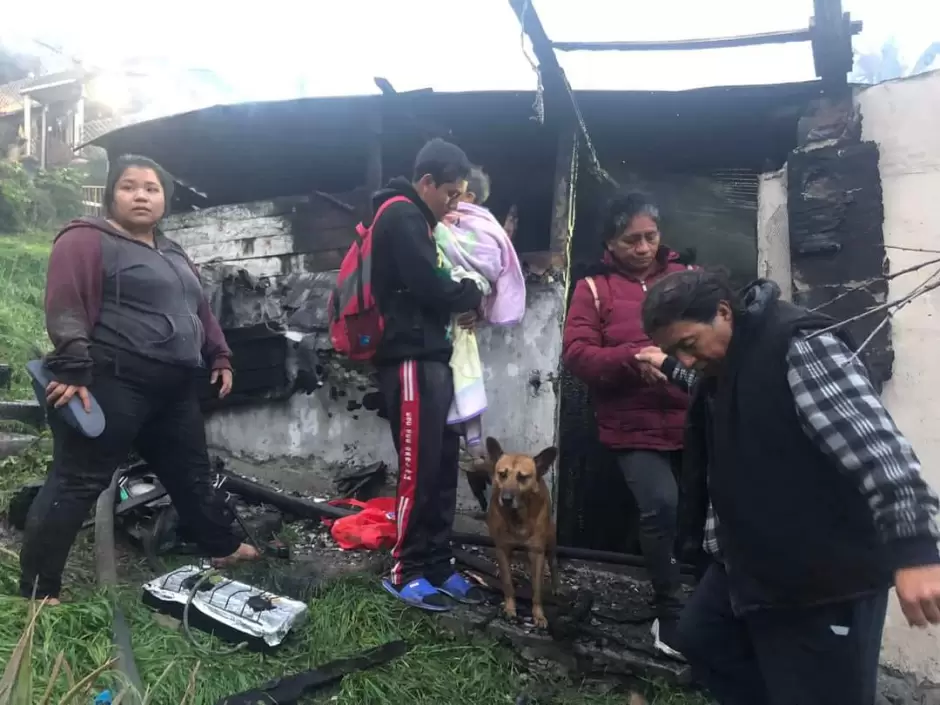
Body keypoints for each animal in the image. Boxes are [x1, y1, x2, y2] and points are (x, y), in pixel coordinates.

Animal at [484, 434, 560, 628]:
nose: (506, 499)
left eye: (523, 477)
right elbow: (508, 583)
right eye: (502, 474)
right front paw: (510, 608)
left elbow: (537, 589)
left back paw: (556, 586)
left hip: (551, 542)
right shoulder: (503, 549)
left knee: (553, 563)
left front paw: (538, 615)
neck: (517, 517)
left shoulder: (537, 552)